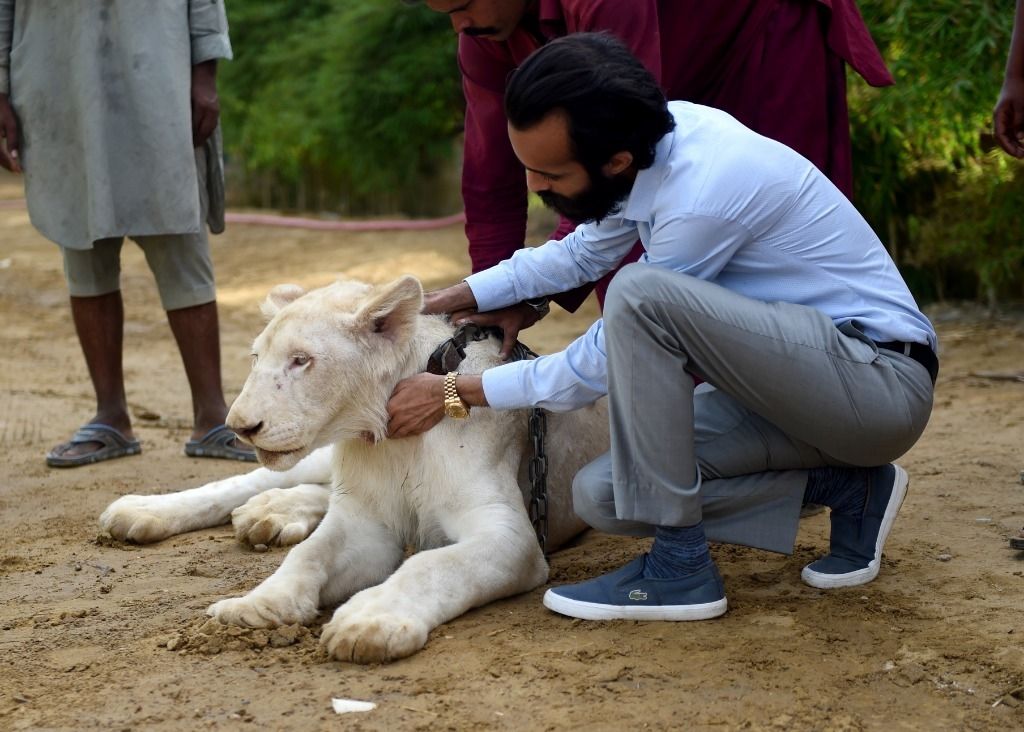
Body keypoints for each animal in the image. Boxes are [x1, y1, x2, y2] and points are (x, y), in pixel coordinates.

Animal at [100, 276, 608, 663]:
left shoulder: (512, 537)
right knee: (257, 480)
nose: (240, 427)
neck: (387, 439)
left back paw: (270, 514)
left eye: (301, 360)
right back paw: (144, 512)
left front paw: (369, 623)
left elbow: (431, 564)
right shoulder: (365, 522)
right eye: (256, 358)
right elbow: (308, 555)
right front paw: (257, 605)